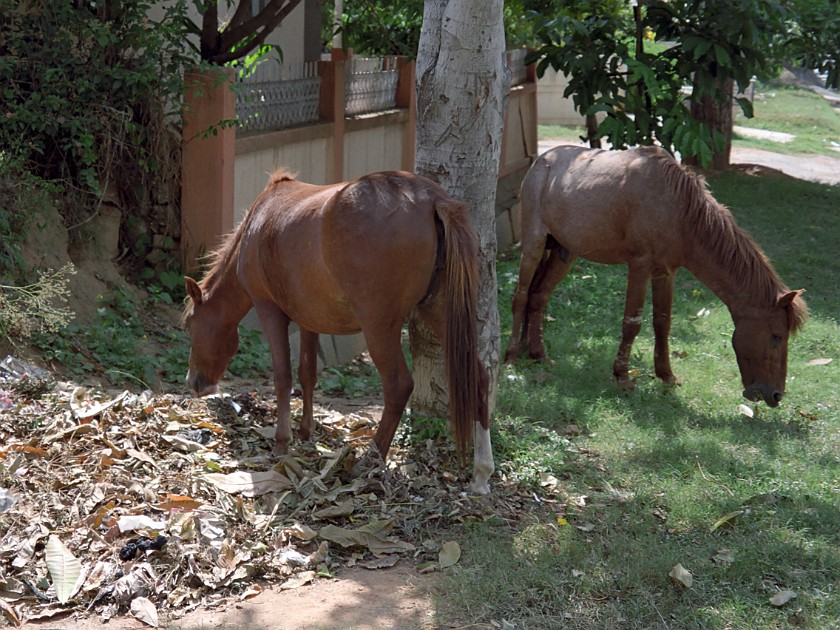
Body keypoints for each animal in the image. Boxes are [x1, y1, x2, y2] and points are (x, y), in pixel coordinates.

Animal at [179, 170, 492, 496]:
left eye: (189, 325)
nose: (194, 382)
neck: (258, 224)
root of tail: (430, 198)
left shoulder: (270, 311)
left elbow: (282, 377)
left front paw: (282, 442)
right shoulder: (309, 319)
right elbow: (307, 373)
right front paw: (305, 432)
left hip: (379, 327)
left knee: (398, 386)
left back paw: (370, 460)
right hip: (439, 313)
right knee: (480, 378)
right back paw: (481, 473)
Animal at [506, 146, 808, 408]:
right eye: (776, 336)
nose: (776, 395)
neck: (679, 212)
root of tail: (543, 159)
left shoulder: (665, 273)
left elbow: (663, 323)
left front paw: (667, 375)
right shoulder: (639, 267)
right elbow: (632, 323)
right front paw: (623, 377)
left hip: (563, 253)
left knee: (538, 297)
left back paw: (539, 354)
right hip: (533, 246)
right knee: (520, 297)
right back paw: (511, 357)